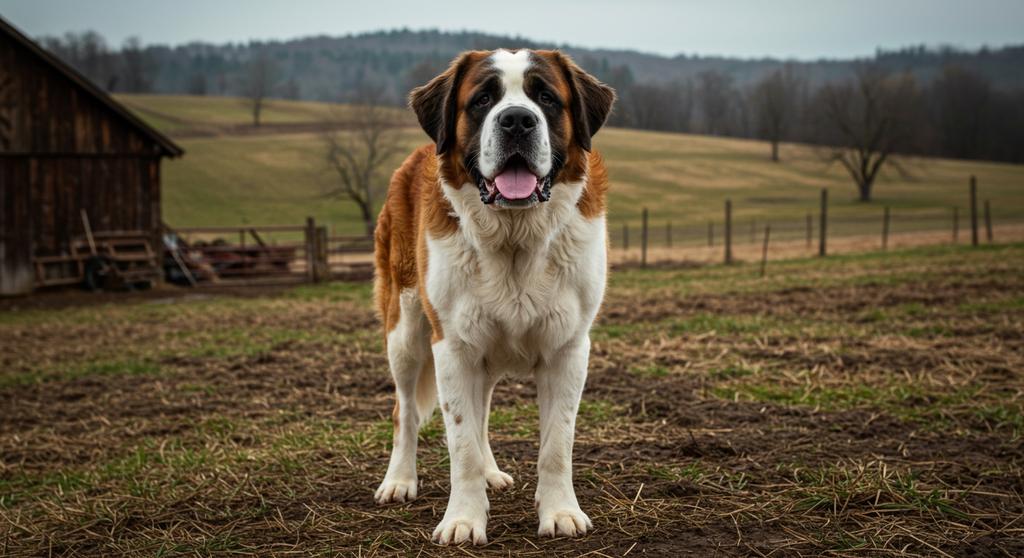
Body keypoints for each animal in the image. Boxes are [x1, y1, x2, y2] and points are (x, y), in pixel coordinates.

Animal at [376, 47, 614, 544]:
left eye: (546, 98)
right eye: (483, 100)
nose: (517, 120)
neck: (515, 237)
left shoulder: (568, 348)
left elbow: (556, 442)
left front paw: (560, 511)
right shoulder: (452, 347)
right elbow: (460, 443)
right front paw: (464, 520)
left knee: (481, 407)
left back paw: (490, 473)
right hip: (405, 331)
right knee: (405, 410)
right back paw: (399, 480)